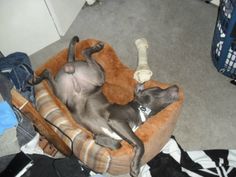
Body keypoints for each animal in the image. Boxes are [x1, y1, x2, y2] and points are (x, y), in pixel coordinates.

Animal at [34, 36, 179, 177]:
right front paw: (135, 167)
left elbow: (117, 144)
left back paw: (37, 78)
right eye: (158, 89)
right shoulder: (117, 121)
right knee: (81, 53)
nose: (177, 87)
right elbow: (139, 143)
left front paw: (102, 141)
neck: (140, 109)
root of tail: (71, 63)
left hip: (63, 93)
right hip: (97, 78)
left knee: (49, 73)